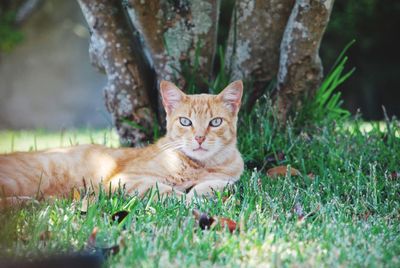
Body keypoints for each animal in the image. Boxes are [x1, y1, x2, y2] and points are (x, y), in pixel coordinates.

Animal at [0, 80, 244, 206]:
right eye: (186, 121)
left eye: (215, 122)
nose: (199, 138)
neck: (197, 167)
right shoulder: (124, 181)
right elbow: (164, 190)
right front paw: (186, 199)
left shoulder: (228, 178)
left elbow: (218, 184)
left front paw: (200, 194)